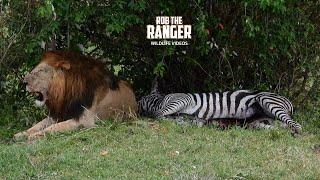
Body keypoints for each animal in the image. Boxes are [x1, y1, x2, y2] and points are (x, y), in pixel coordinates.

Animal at [139, 83, 302, 134]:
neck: (159, 100)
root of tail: (289, 102)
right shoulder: (197, 119)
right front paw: (180, 123)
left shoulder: (182, 99)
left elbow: (159, 114)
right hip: (258, 123)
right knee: (278, 127)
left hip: (266, 99)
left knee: (297, 126)